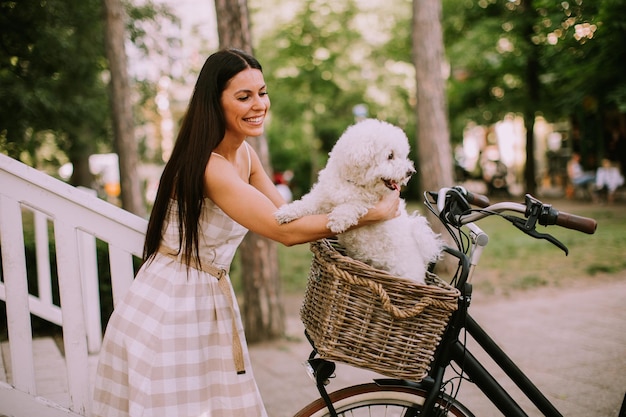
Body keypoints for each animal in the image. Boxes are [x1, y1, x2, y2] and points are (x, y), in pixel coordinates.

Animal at [274, 118, 444, 284]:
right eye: (390, 156)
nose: (410, 172)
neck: (352, 183)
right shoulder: (322, 197)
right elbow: (305, 203)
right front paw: (285, 212)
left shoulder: (371, 204)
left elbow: (354, 204)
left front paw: (338, 220)